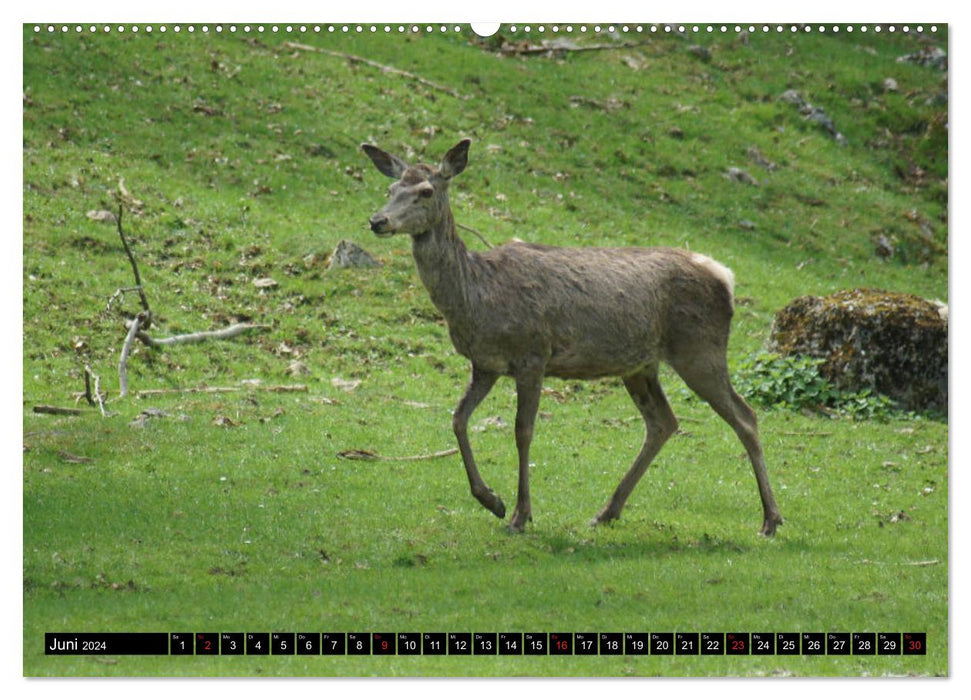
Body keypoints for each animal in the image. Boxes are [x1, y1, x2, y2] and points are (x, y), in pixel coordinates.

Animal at [362, 141, 784, 536]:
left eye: (426, 191)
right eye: (391, 187)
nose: (378, 220)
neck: (477, 296)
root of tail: (725, 276)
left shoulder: (533, 354)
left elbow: (523, 432)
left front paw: (520, 515)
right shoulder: (485, 364)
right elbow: (458, 419)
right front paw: (491, 500)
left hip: (700, 349)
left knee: (745, 416)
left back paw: (771, 519)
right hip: (641, 365)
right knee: (663, 421)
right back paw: (607, 511)